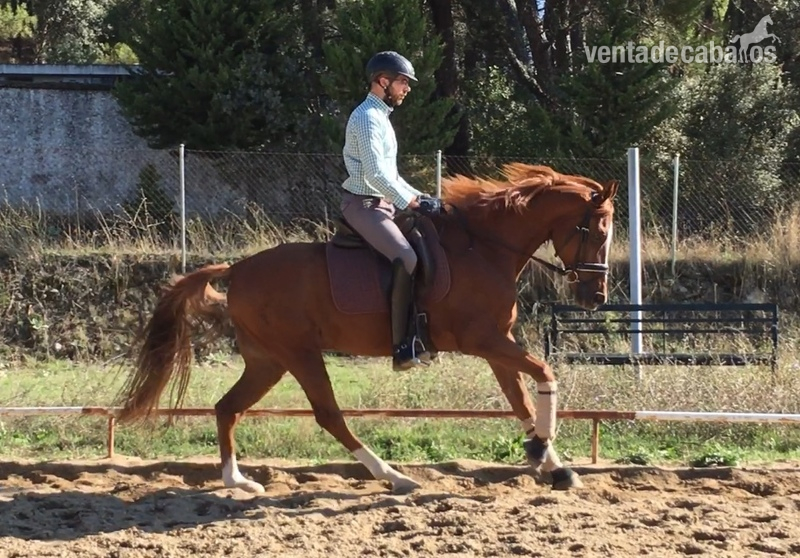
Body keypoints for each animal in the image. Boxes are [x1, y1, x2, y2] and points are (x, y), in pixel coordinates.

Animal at [114, 162, 619, 494]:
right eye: (598, 232)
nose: (595, 298)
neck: (484, 248)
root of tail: (238, 270)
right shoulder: (484, 341)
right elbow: (544, 375)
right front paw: (541, 450)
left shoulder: (498, 344)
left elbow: (520, 400)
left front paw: (552, 464)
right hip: (298, 355)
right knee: (328, 415)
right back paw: (392, 476)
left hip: (267, 360)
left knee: (228, 408)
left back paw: (236, 480)